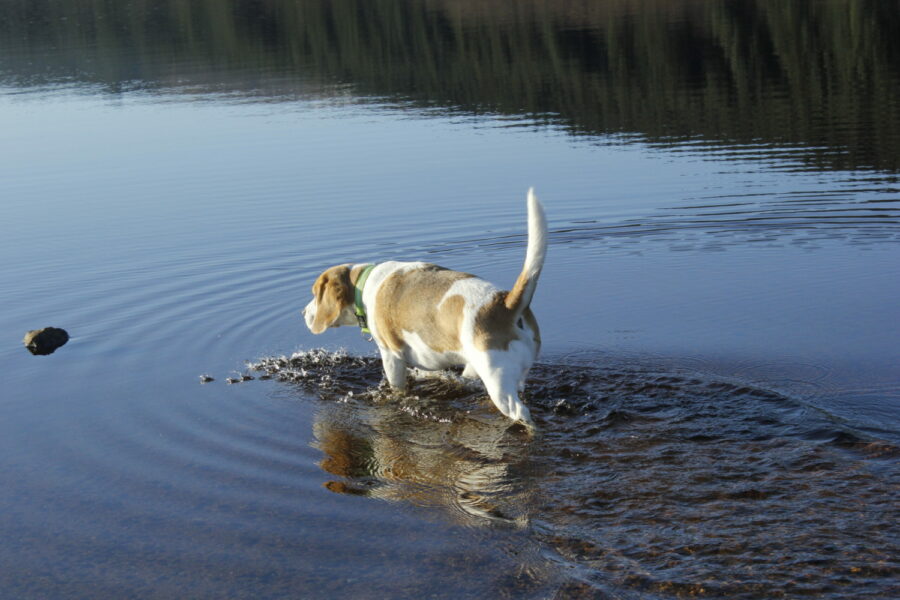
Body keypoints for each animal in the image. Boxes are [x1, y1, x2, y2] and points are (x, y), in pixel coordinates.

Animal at [302, 188, 544, 426]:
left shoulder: (391, 356)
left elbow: (396, 386)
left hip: (498, 384)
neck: (365, 282)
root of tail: (506, 301)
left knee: (521, 413)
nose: (303, 312)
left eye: (315, 293)